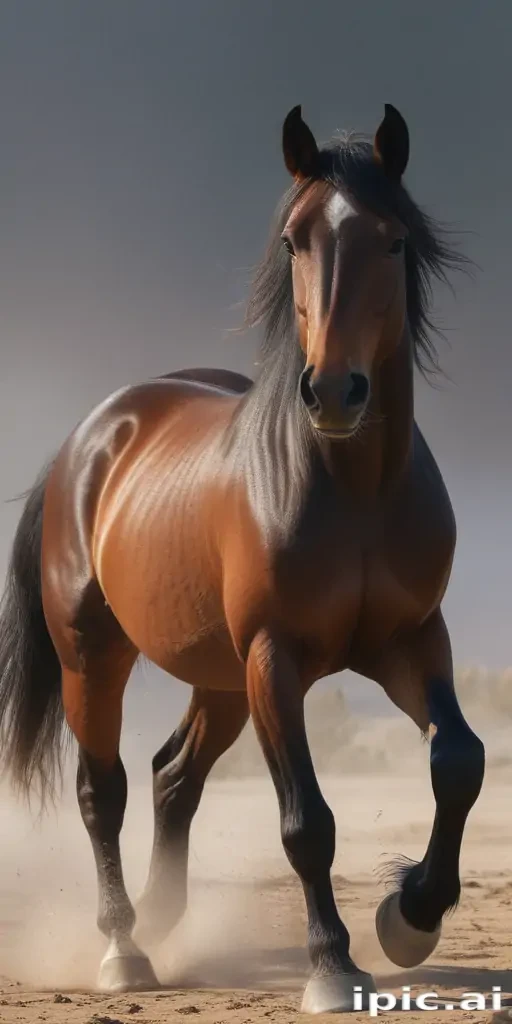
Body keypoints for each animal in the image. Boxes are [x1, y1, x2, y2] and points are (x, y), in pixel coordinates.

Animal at [0, 104, 485, 1014]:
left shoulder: (410, 643)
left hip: (218, 679)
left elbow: (459, 761)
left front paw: (410, 917)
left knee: (171, 778)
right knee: (103, 793)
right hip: (98, 660)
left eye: (393, 239)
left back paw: (163, 919)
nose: (334, 392)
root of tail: (91, 436)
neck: (353, 490)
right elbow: (307, 820)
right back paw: (125, 951)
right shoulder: (274, 660)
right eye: (295, 240)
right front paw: (333, 965)